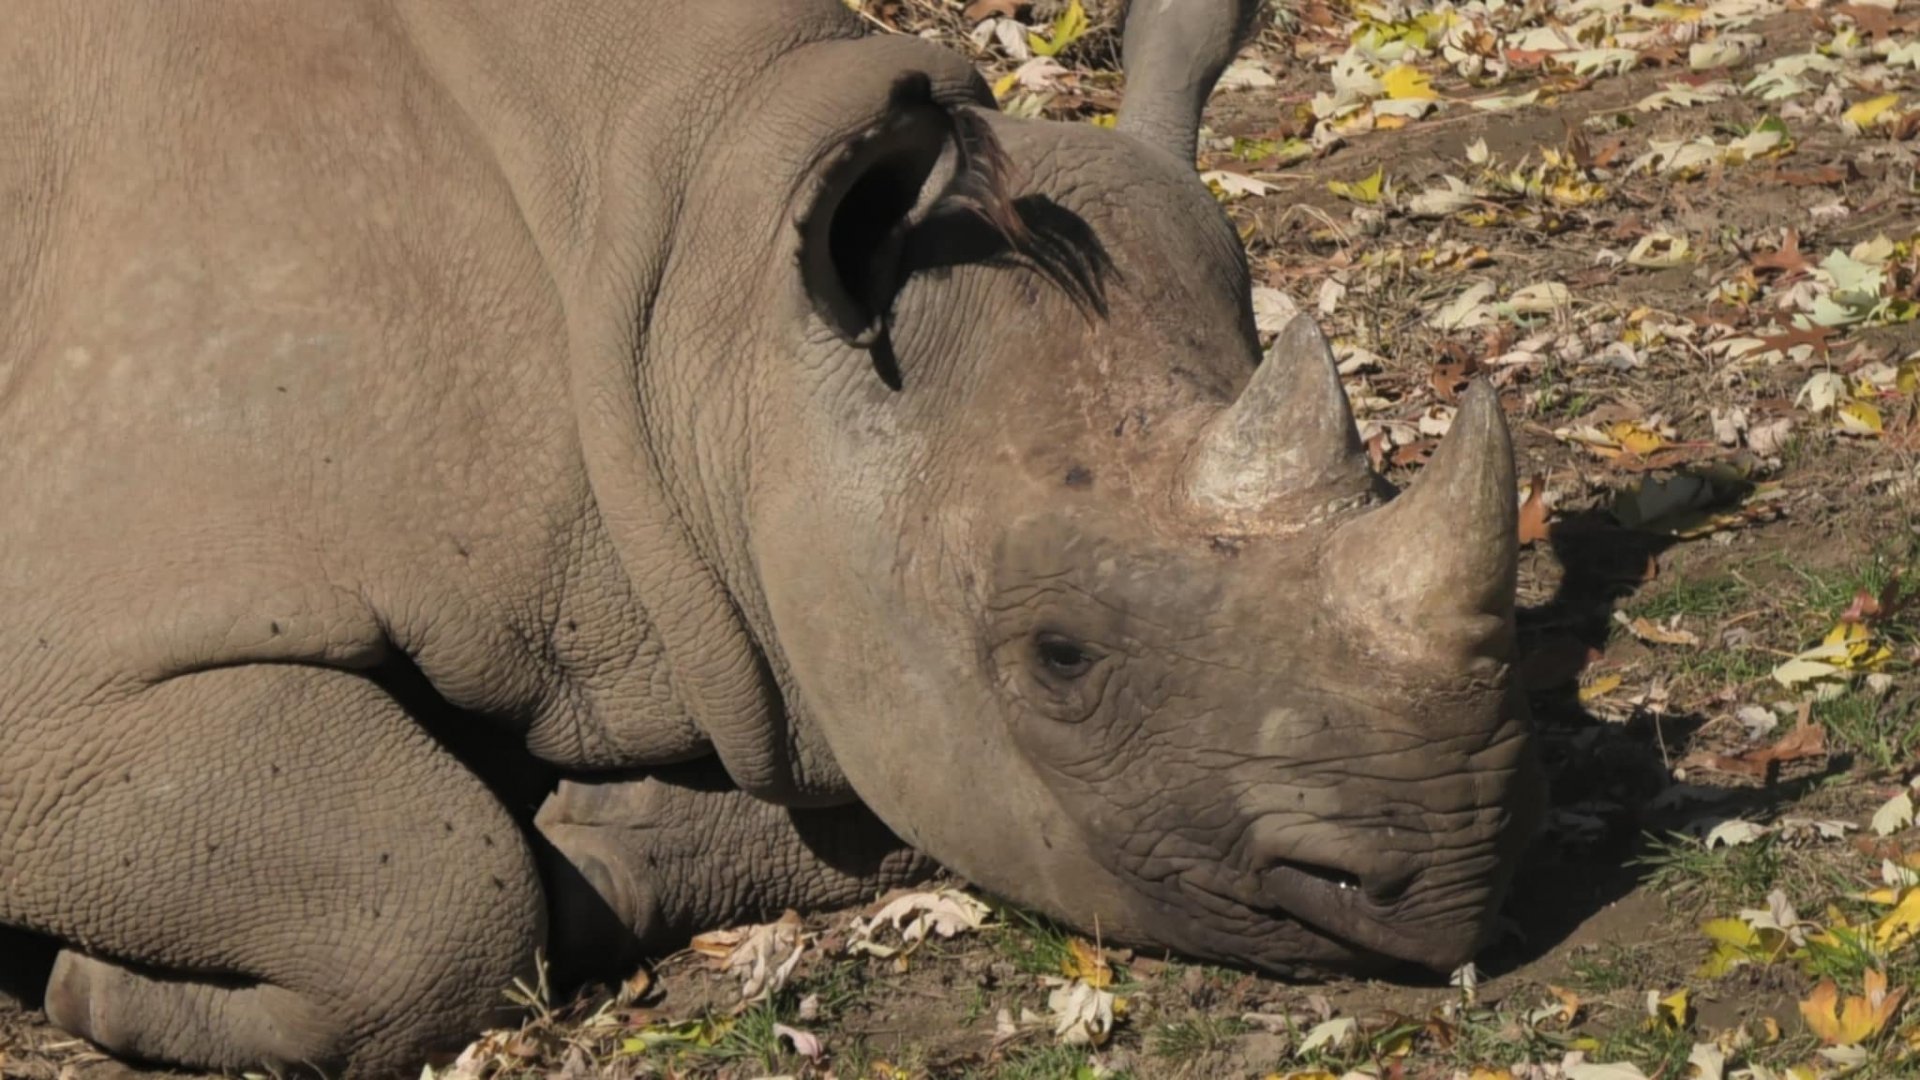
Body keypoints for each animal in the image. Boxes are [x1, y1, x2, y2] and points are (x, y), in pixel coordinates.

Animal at [0, 0, 1544, 1074]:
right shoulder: (65, 674)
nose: (1448, 880)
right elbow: (440, 895)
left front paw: (596, 835)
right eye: (1059, 657)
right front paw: (100, 994)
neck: (699, 286)